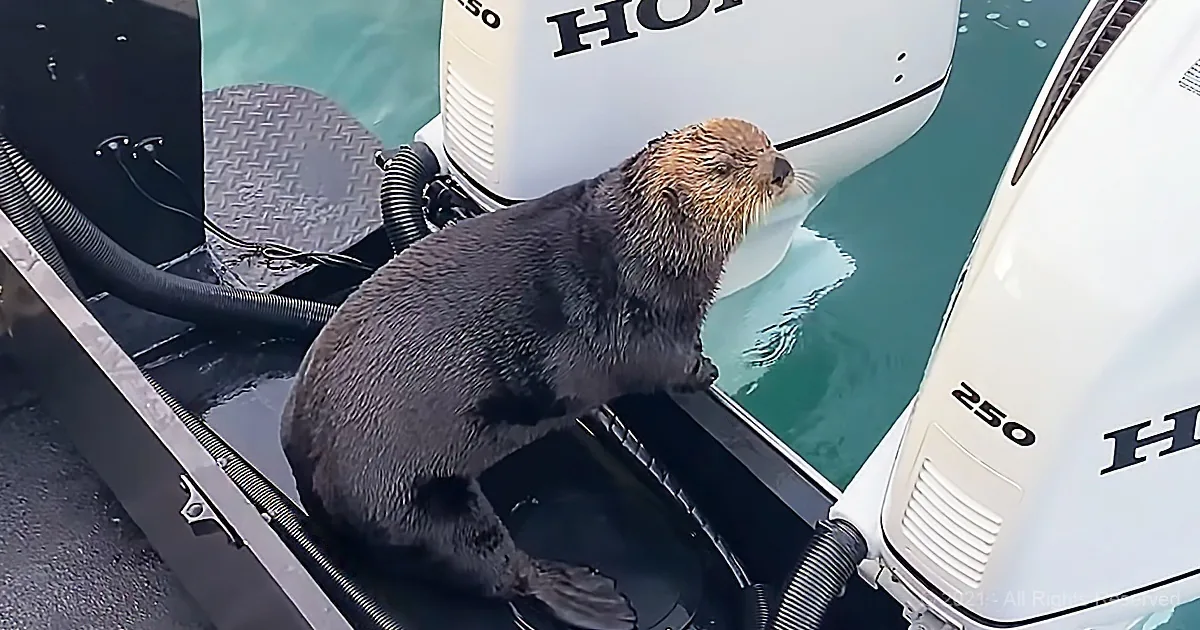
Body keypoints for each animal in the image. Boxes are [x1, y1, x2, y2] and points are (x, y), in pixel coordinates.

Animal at [280, 117, 798, 630]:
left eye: (767, 140)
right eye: (724, 168)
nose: (782, 167)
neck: (637, 243)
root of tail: (308, 487)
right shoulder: (634, 325)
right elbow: (661, 367)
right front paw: (704, 369)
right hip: (417, 506)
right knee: (499, 571)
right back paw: (586, 596)